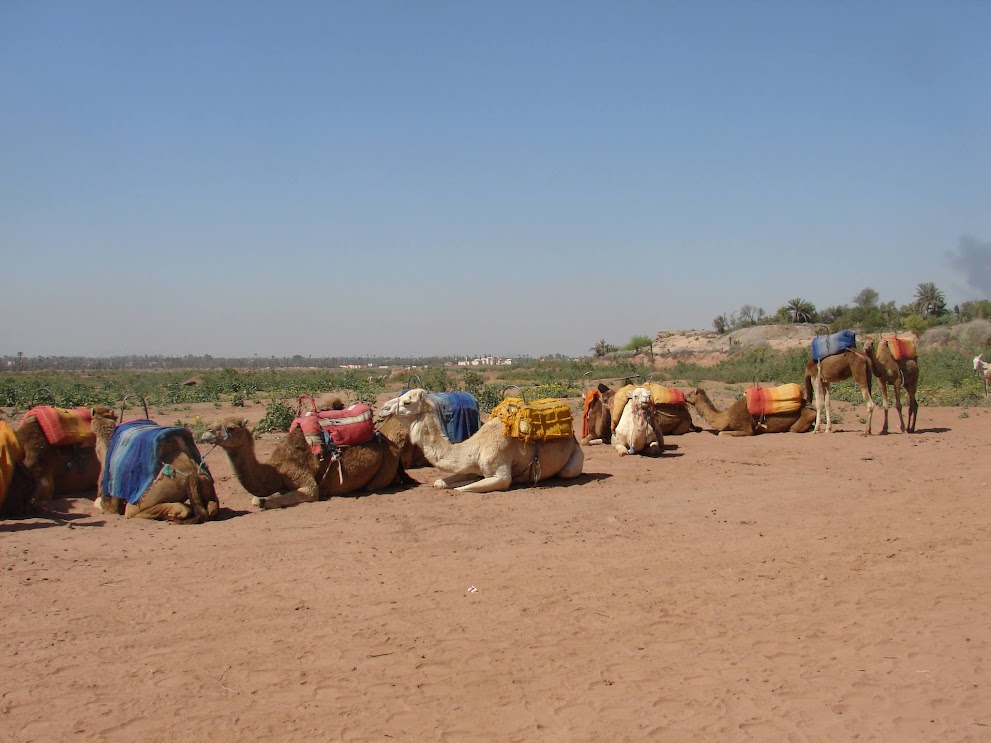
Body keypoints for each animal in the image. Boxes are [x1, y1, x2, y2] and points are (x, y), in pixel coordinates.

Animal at [203, 412, 404, 512]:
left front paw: (265, 501)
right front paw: (261, 499)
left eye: (231, 428)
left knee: (372, 486)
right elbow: (256, 499)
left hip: (388, 462)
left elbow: (304, 493)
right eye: (215, 423)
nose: (206, 433)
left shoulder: (303, 479)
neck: (276, 469)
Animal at [378, 390, 580, 494]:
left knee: (567, 472)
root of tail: (574, 436)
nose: (383, 408)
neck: (477, 445)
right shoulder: (471, 466)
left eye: (407, 402)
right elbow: (440, 482)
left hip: (573, 461)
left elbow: (462, 490)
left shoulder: (500, 474)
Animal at [684, 390, 816, 436]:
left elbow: (721, 433)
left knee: (793, 428)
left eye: (689, 394)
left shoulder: (746, 428)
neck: (727, 416)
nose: (684, 397)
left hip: (806, 415)